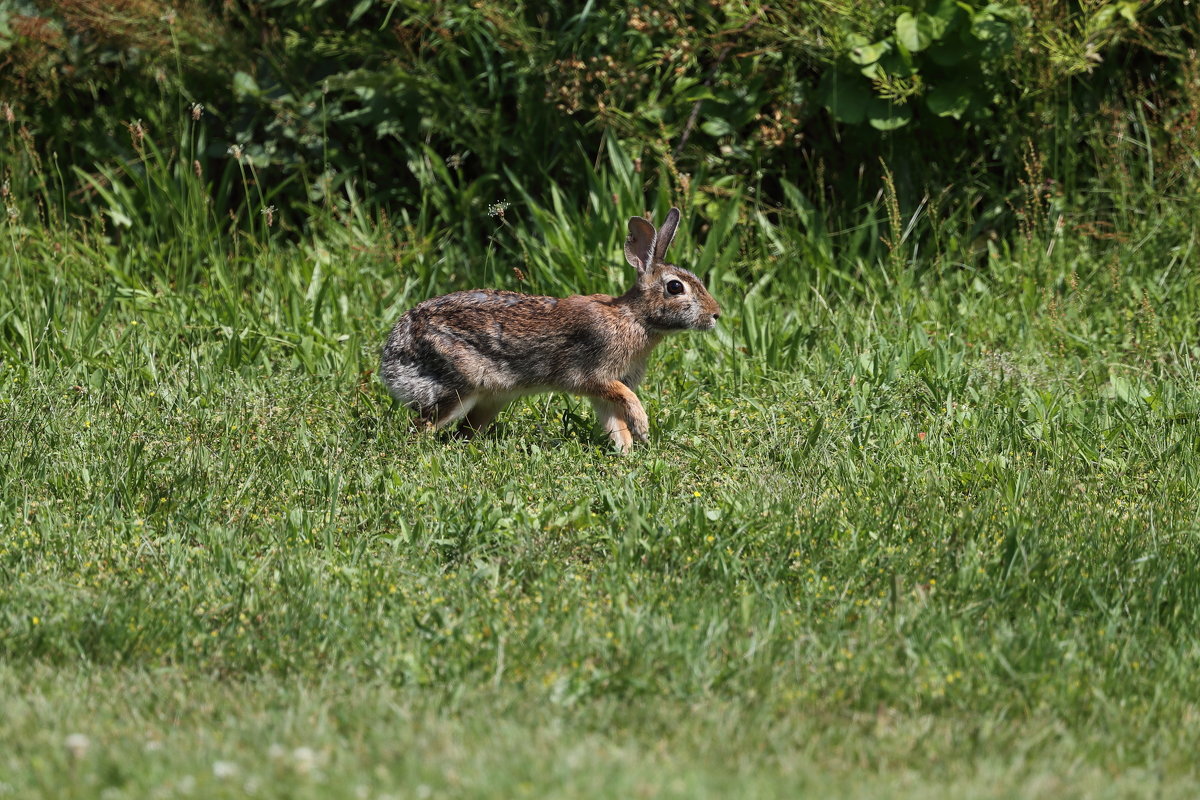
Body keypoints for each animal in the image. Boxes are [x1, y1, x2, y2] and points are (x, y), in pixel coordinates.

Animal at [381, 206, 720, 450]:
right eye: (675, 287)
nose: (716, 314)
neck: (634, 318)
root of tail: (393, 355)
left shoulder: (605, 393)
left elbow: (614, 423)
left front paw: (626, 454)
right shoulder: (594, 376)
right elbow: (624, 399)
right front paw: (642, 426)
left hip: (490, 400)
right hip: (457, 386)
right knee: (422, 426)